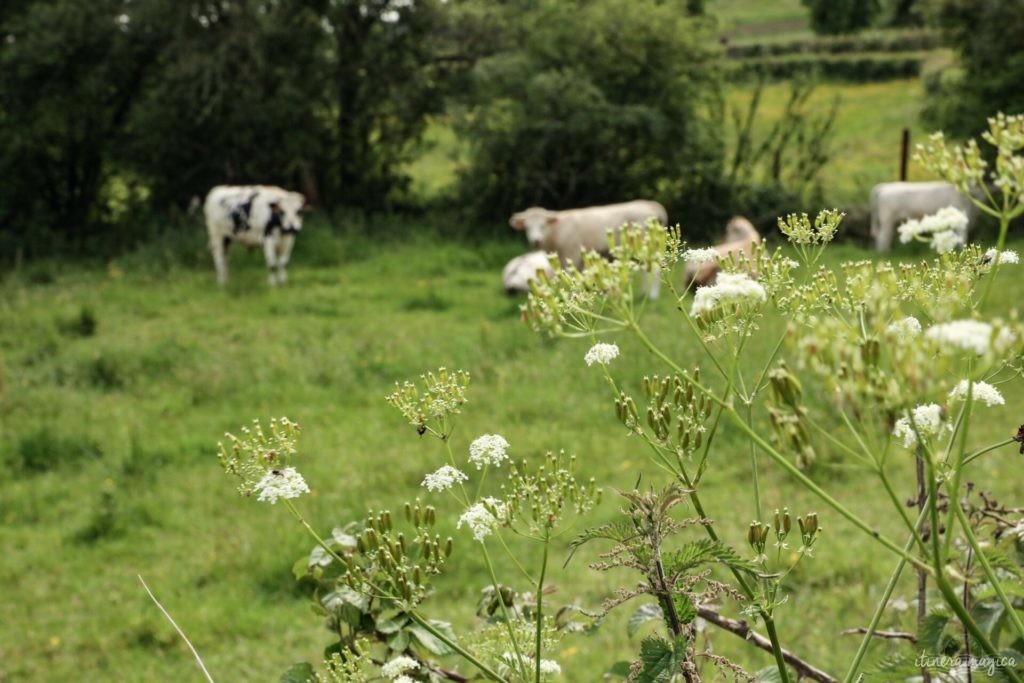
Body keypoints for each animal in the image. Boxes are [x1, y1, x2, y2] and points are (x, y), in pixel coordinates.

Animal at [507, 200, 667, 299]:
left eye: (542, 225)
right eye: (527, 227)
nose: (535, 240)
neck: (555, 232)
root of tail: (649, 204)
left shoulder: (571, 254)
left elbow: (570, 279)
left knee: (653, 269)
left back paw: (652, 296)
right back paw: (644, 293)